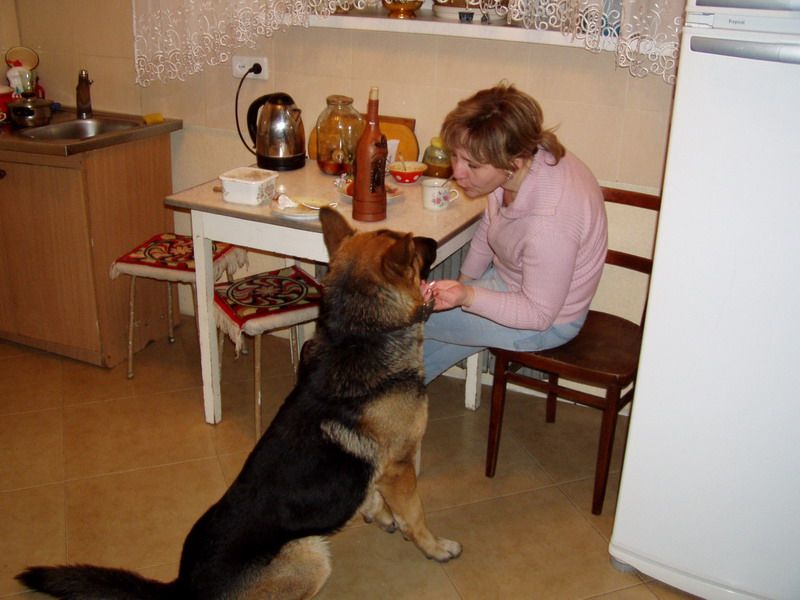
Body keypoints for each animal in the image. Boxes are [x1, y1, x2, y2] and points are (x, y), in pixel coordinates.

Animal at [17, 207, 461, 599]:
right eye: (414, 249)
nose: (434, 240)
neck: (358, 339)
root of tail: (180, 585)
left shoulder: (383, 471)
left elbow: (375, 496)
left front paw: (378, 514)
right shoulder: (401, 467)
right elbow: (416, 515)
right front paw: (436, 546)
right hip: (310, 553)